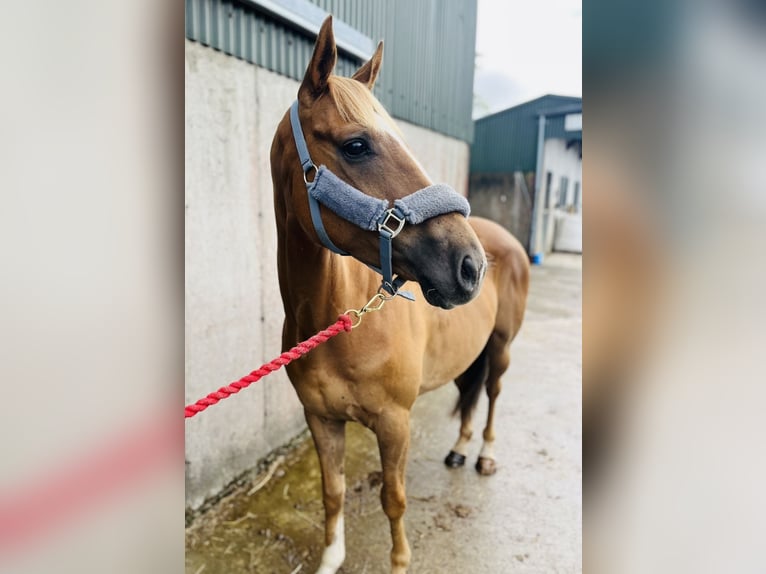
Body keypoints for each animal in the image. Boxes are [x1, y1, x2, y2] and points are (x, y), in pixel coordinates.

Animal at [270, 16, 529, 574]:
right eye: (356, 145)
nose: (471, 266)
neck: (338, 325)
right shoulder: (321, 420)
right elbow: (333, 493)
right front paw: (331, 557)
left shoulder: (394, 423)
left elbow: (394, 499)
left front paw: (399, 560)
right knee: (469, 391)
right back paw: (458, 449)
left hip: (501, 347)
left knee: (493, 394)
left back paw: (484, 455)